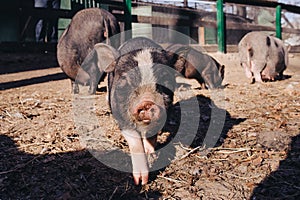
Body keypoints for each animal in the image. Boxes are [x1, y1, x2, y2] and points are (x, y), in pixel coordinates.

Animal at [82, 37, 176, 184]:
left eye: (164, 80)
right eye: (126, 80)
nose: (147, 102)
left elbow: (152, 135)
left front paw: (149, 152)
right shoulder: (119, 115)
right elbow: (135, 141)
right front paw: (140, 181)